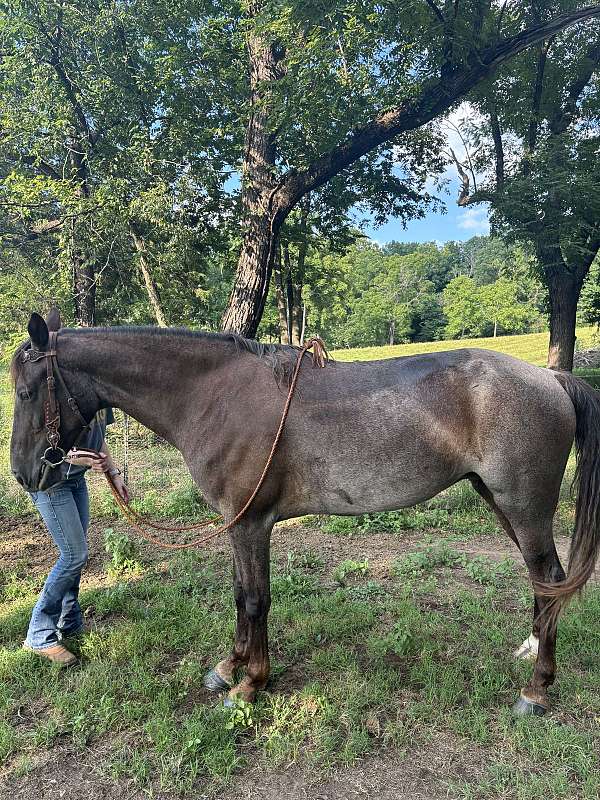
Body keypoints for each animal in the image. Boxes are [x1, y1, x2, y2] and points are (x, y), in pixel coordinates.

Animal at [10, 311, 600, 716]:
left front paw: (251, 683)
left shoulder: (251, 523)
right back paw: (531, 654)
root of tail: (551, 379)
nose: (24, 473)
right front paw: (228, 667)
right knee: (542, 583)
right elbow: (239, 595)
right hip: (498, 501)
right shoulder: (237, 524)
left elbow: (255, 600)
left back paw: (537, 689)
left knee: (549, 576)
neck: (214, 395)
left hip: (523, 508)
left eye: (26, 390)